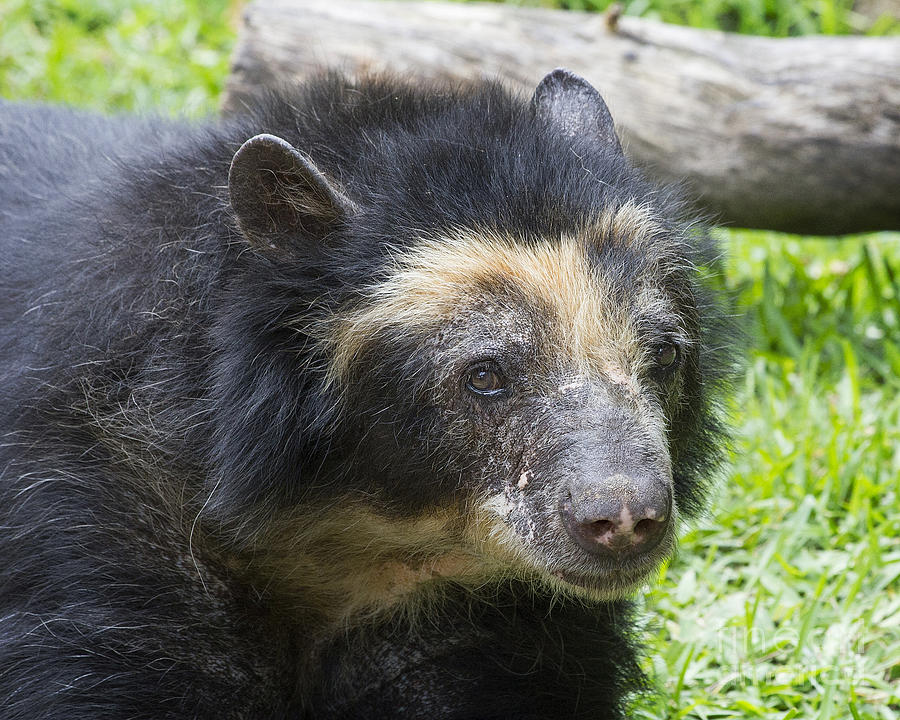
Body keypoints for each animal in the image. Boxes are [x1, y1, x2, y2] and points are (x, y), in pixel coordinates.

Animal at [0, 69, 732, 720]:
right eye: (485, 374)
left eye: (664, 356)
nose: (625, 520)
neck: (342, 531)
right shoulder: (96, 527)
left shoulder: (479, 621)